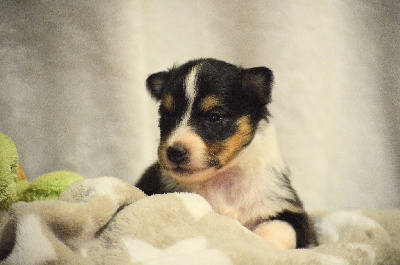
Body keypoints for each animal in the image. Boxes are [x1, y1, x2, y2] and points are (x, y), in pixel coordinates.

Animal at [136, 58, 318, 250]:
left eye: (214, 117)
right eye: (166, 116)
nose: (174, 152)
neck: (223, 181)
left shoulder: (289, 209)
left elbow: (277, 227)